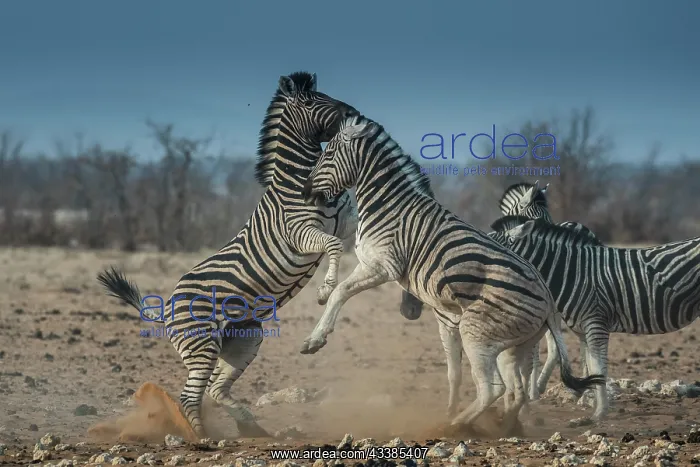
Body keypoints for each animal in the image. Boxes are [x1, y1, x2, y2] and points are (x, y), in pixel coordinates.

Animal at [96, 72, 420, 439]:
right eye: (312, 101)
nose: (355, 113)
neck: (298, 183)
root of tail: (165, 308)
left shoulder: (346, 223)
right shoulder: (300, 233)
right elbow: (333, 248)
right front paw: (324, 291)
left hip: (246, 337)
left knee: (216, 389)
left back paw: (252, 428)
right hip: (201, 344)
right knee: (190, 395)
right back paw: (203, 438)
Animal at [300, 115, 604, 435]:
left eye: (328, 155)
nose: (305, 193)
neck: (388, 205)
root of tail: (547, 298)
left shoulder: (383, 266)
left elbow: (341, 292)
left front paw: (315, 340)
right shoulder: (369, 262)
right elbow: (335, 280)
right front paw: (320, 296)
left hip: (475, 332)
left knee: (492, 389)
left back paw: (452, 426)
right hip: (514, 346)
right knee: (516, 389)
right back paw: (503, 427)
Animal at [488, 214, 700, 421]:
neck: (571, 273)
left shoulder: (596, 324)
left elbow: (599, 368)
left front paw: (600, 413)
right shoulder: (585, 330)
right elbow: (592, 367)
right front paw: (596, 408)